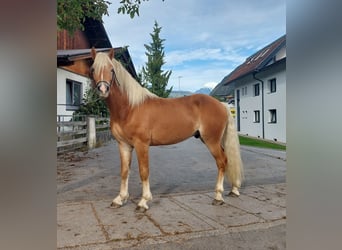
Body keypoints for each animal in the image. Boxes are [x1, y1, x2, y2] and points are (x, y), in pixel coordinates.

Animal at [89, 47, 242, 211]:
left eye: (111, 70)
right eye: (93, 69)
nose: (103, 89)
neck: (129, 108)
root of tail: (221, 105)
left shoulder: (141, 144)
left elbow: (144, 171)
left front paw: (143, 201)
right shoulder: (124, 145)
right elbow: (124, 172)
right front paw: (120, 199)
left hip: (211, 140)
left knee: (222, 161)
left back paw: (218, 196)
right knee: (226, 160)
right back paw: (234, 189)